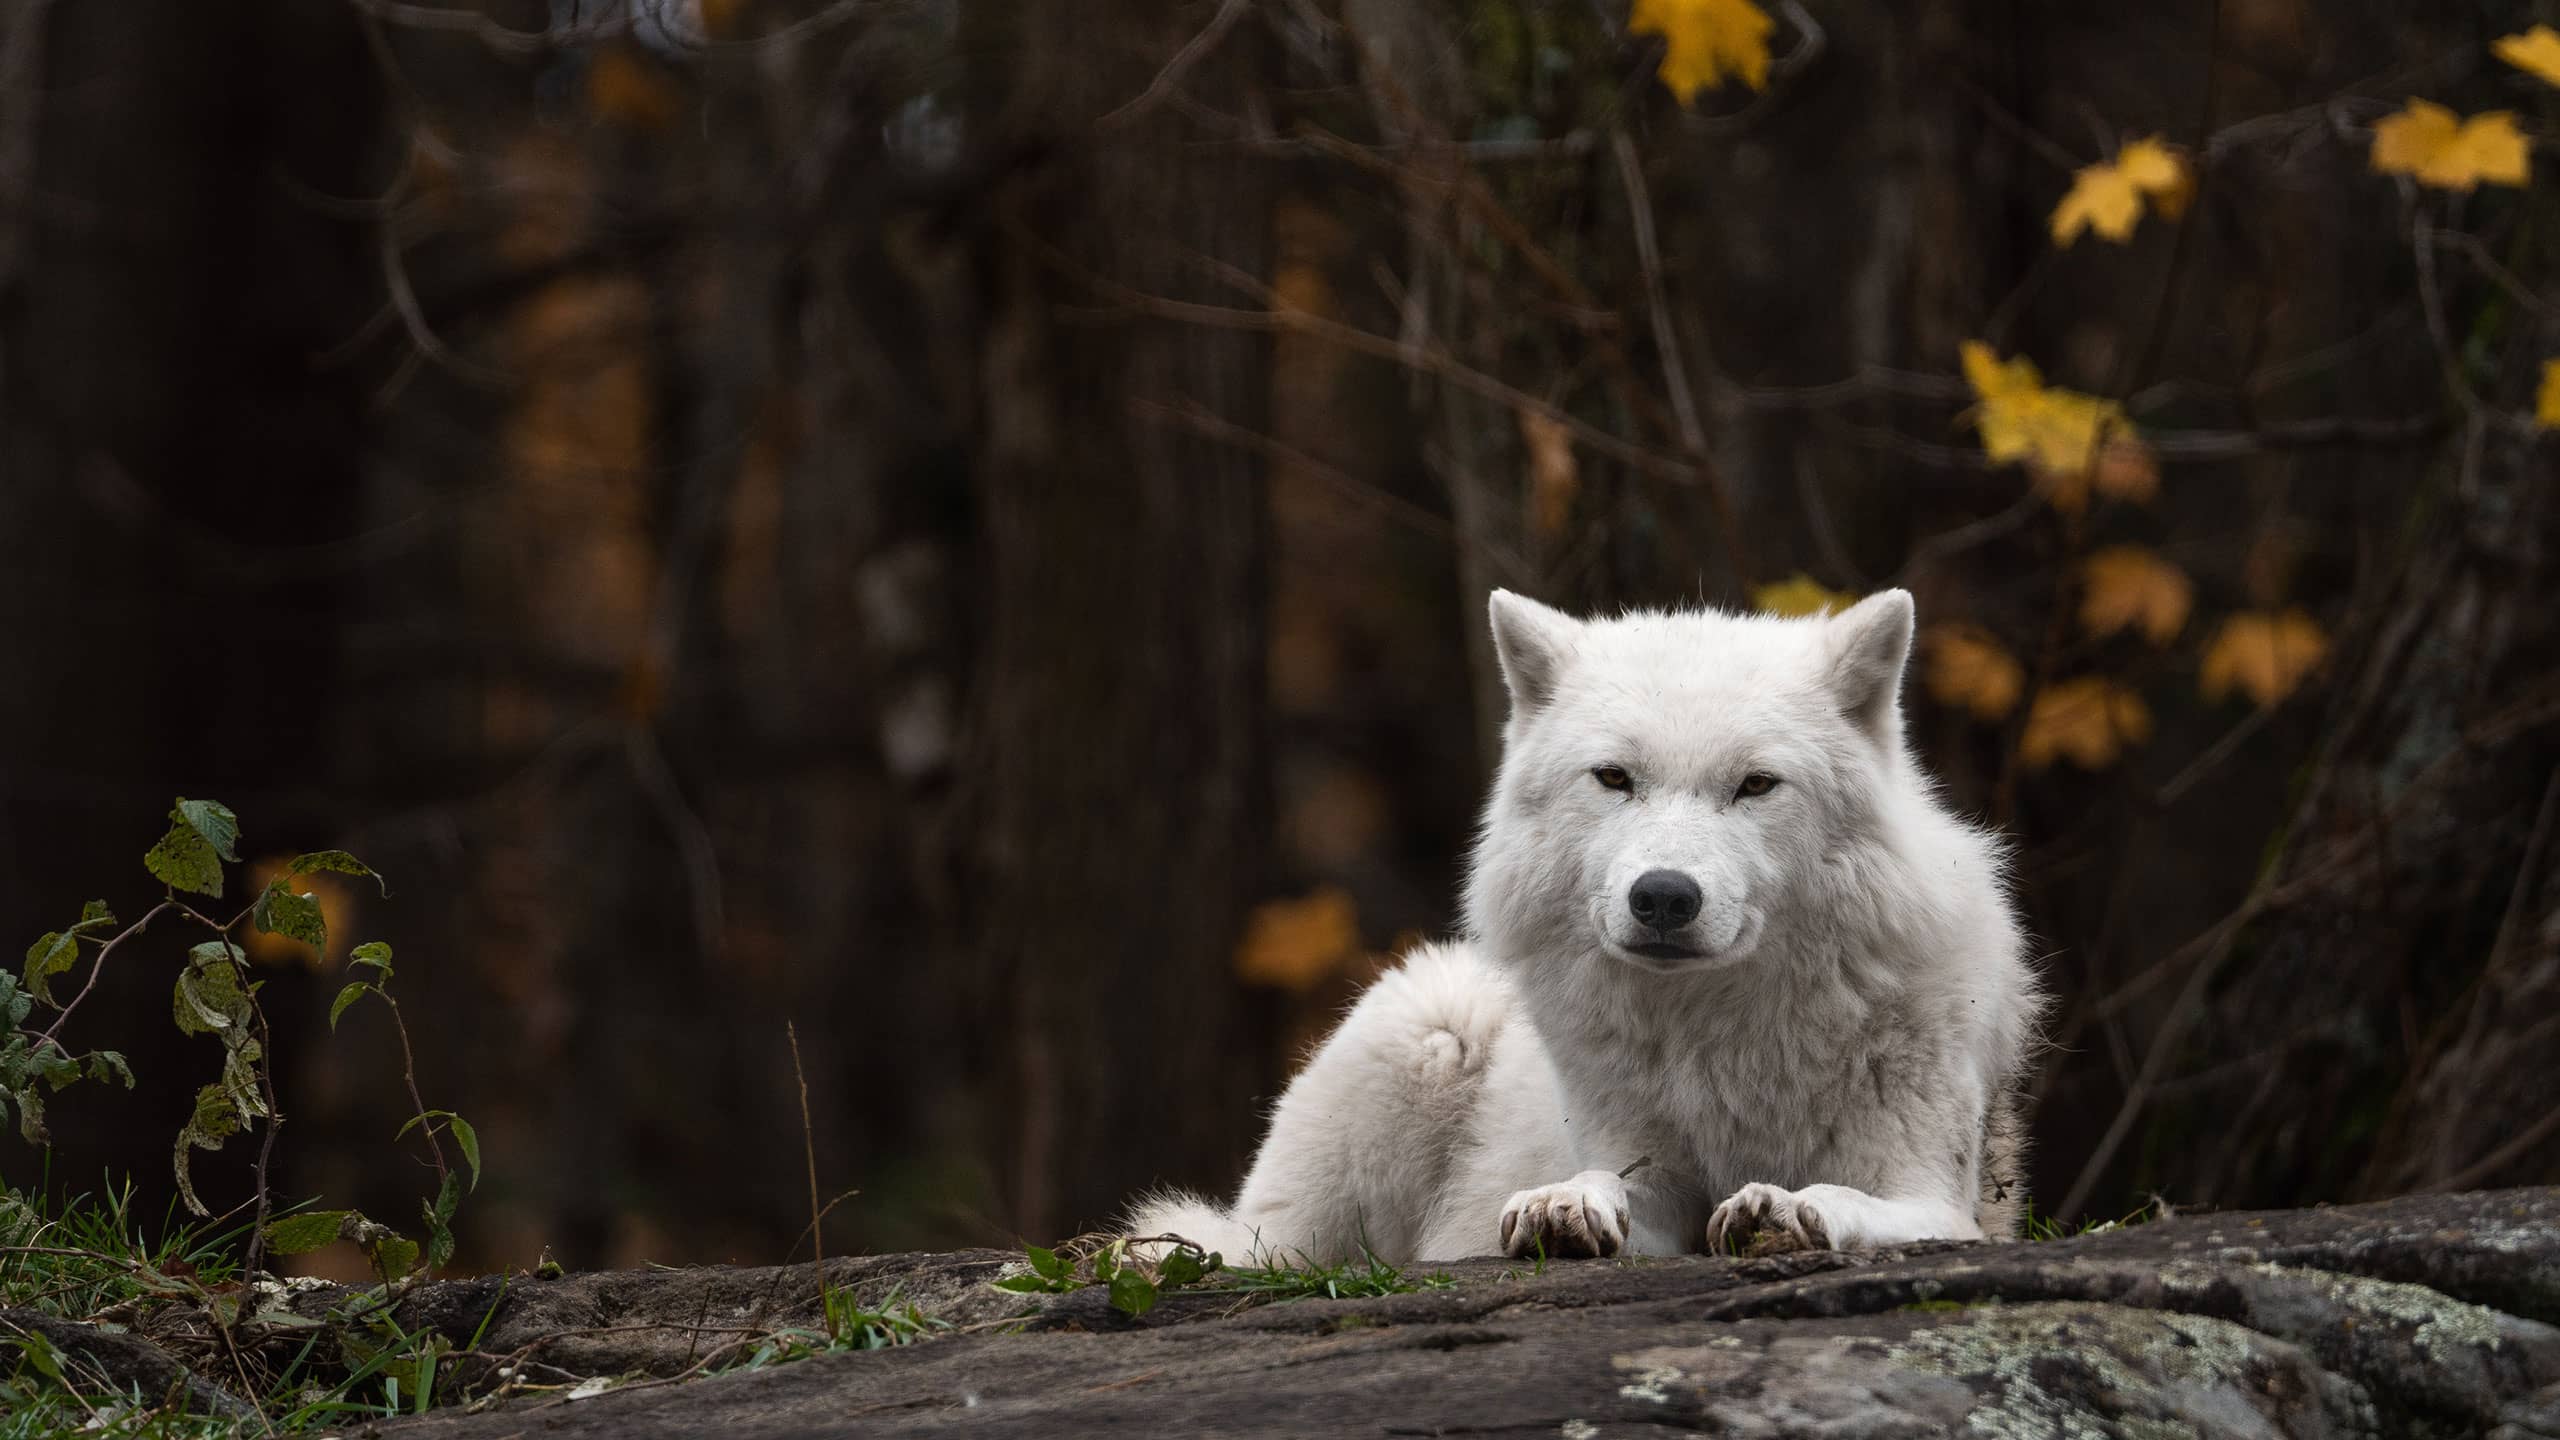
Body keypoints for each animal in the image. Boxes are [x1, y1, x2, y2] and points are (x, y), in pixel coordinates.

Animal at [1131, 588, 2043, 1262]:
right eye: (1614, 778)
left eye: (1755, 785)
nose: (1664, 897)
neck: (1722, 1042)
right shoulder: (1645, 1173)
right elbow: (1611, 1185)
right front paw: (1564, 1205)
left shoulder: (1940, 1200)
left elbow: (1844, 1196)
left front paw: (1782, 1207)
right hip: (1424, 1027)